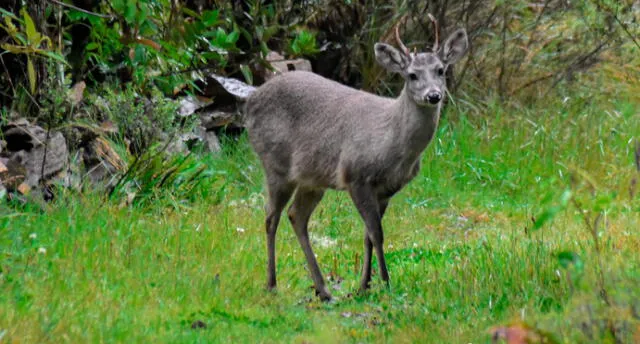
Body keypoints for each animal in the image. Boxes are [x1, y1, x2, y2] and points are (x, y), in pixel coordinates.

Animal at [242, 18, 468, 300]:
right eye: (412, 75)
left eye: (440, 70)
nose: (434, 95)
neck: (393, 142)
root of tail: (249, 101)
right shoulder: (356, 176)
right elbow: (377, 234)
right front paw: (386, 282)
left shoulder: (387, 189)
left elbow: (368, 236)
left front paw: (364, 285)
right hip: (276, 164)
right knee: (271, 217)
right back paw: (273, 283)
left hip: (311, 178)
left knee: (296, 215)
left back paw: (323, 290)